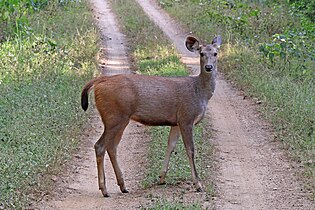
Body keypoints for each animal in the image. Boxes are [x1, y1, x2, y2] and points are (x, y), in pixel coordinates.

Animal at [82, 35, 223, 197]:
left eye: (215, 53)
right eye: (201, 53)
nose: (208, 67)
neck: (200, 92)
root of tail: (99, 82)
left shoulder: (176, 122)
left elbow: (171, 145)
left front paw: (161, 178)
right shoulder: (186, 117)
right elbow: (190, 149)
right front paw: (198, 184)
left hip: (119, 119)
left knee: (112, 146)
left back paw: (122, 186)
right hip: (114, 116)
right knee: (100, 145)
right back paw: (104, 189)